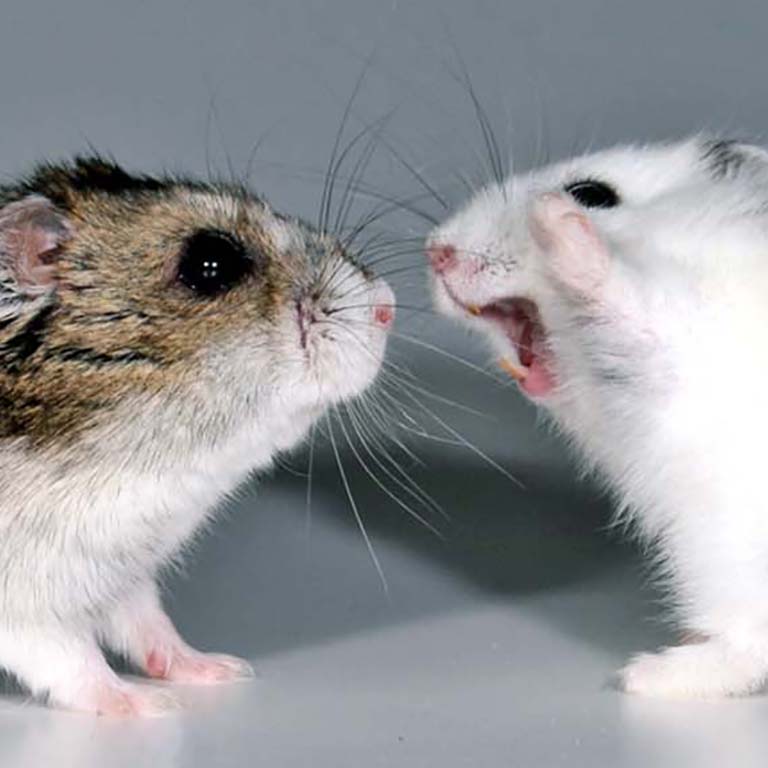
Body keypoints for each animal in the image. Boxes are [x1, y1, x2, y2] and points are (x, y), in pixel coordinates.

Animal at [0, 156, 396, 712]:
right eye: (211, 265)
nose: (389, 306)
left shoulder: (123, 576)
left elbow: (149, 624)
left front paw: (223, 669)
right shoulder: (26, 603)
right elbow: (71, 659)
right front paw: (147, 705)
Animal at [426, 135, 768, 700]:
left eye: (592, 193)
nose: (434, 251)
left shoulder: (681, 333)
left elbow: (621, 295)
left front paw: (553, 218)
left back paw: (643, 675)